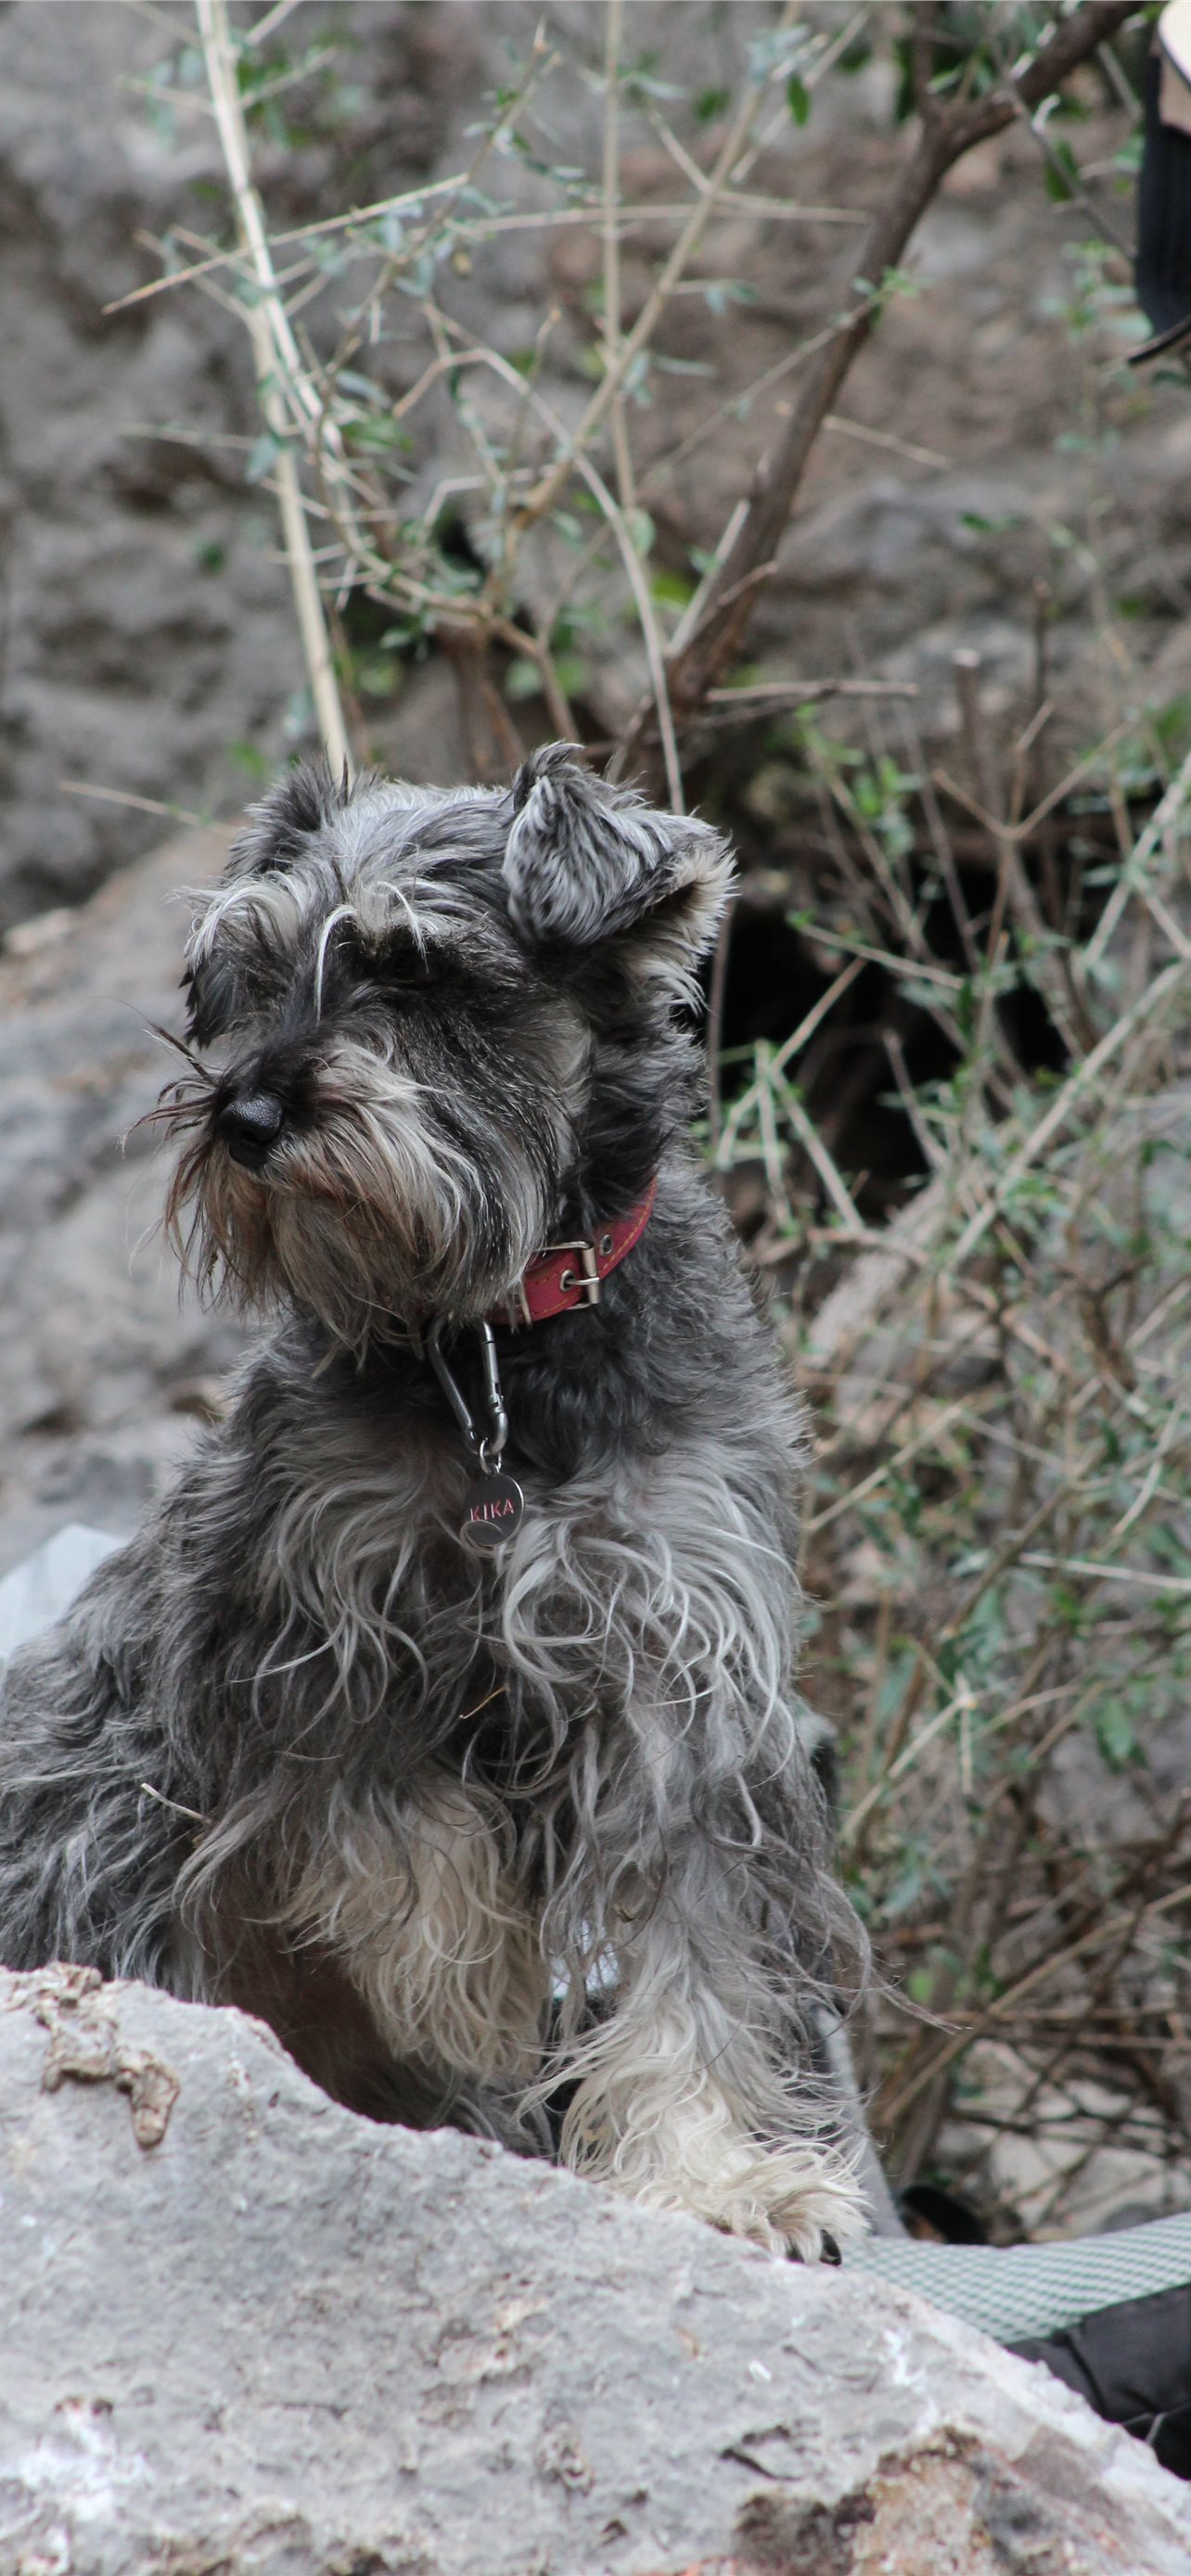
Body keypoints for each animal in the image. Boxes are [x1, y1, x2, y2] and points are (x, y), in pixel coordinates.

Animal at [0, 746, 865, 2256]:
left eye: (420, 971)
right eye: (255, 974)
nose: (247, 1117)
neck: (496, 1349)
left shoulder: (681, 1677)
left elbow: (693, 1953)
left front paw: (721, 2179)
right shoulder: (315, 1639)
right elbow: (405, 1837)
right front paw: (465, 1977)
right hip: (95, 1814)